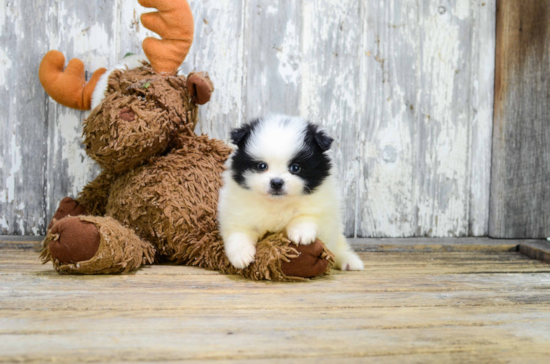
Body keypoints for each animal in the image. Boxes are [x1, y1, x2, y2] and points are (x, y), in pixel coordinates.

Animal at [218, 115, 364, 272]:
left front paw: (301, 232)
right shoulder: (237, 213)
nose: (276, 182)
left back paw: (349, 261)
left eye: (295, 168)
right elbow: (238, 233)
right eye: (262, 166)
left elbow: (306, 215)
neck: (277, 204)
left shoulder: (323, 206)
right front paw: (241, 255)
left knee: (338, 246)